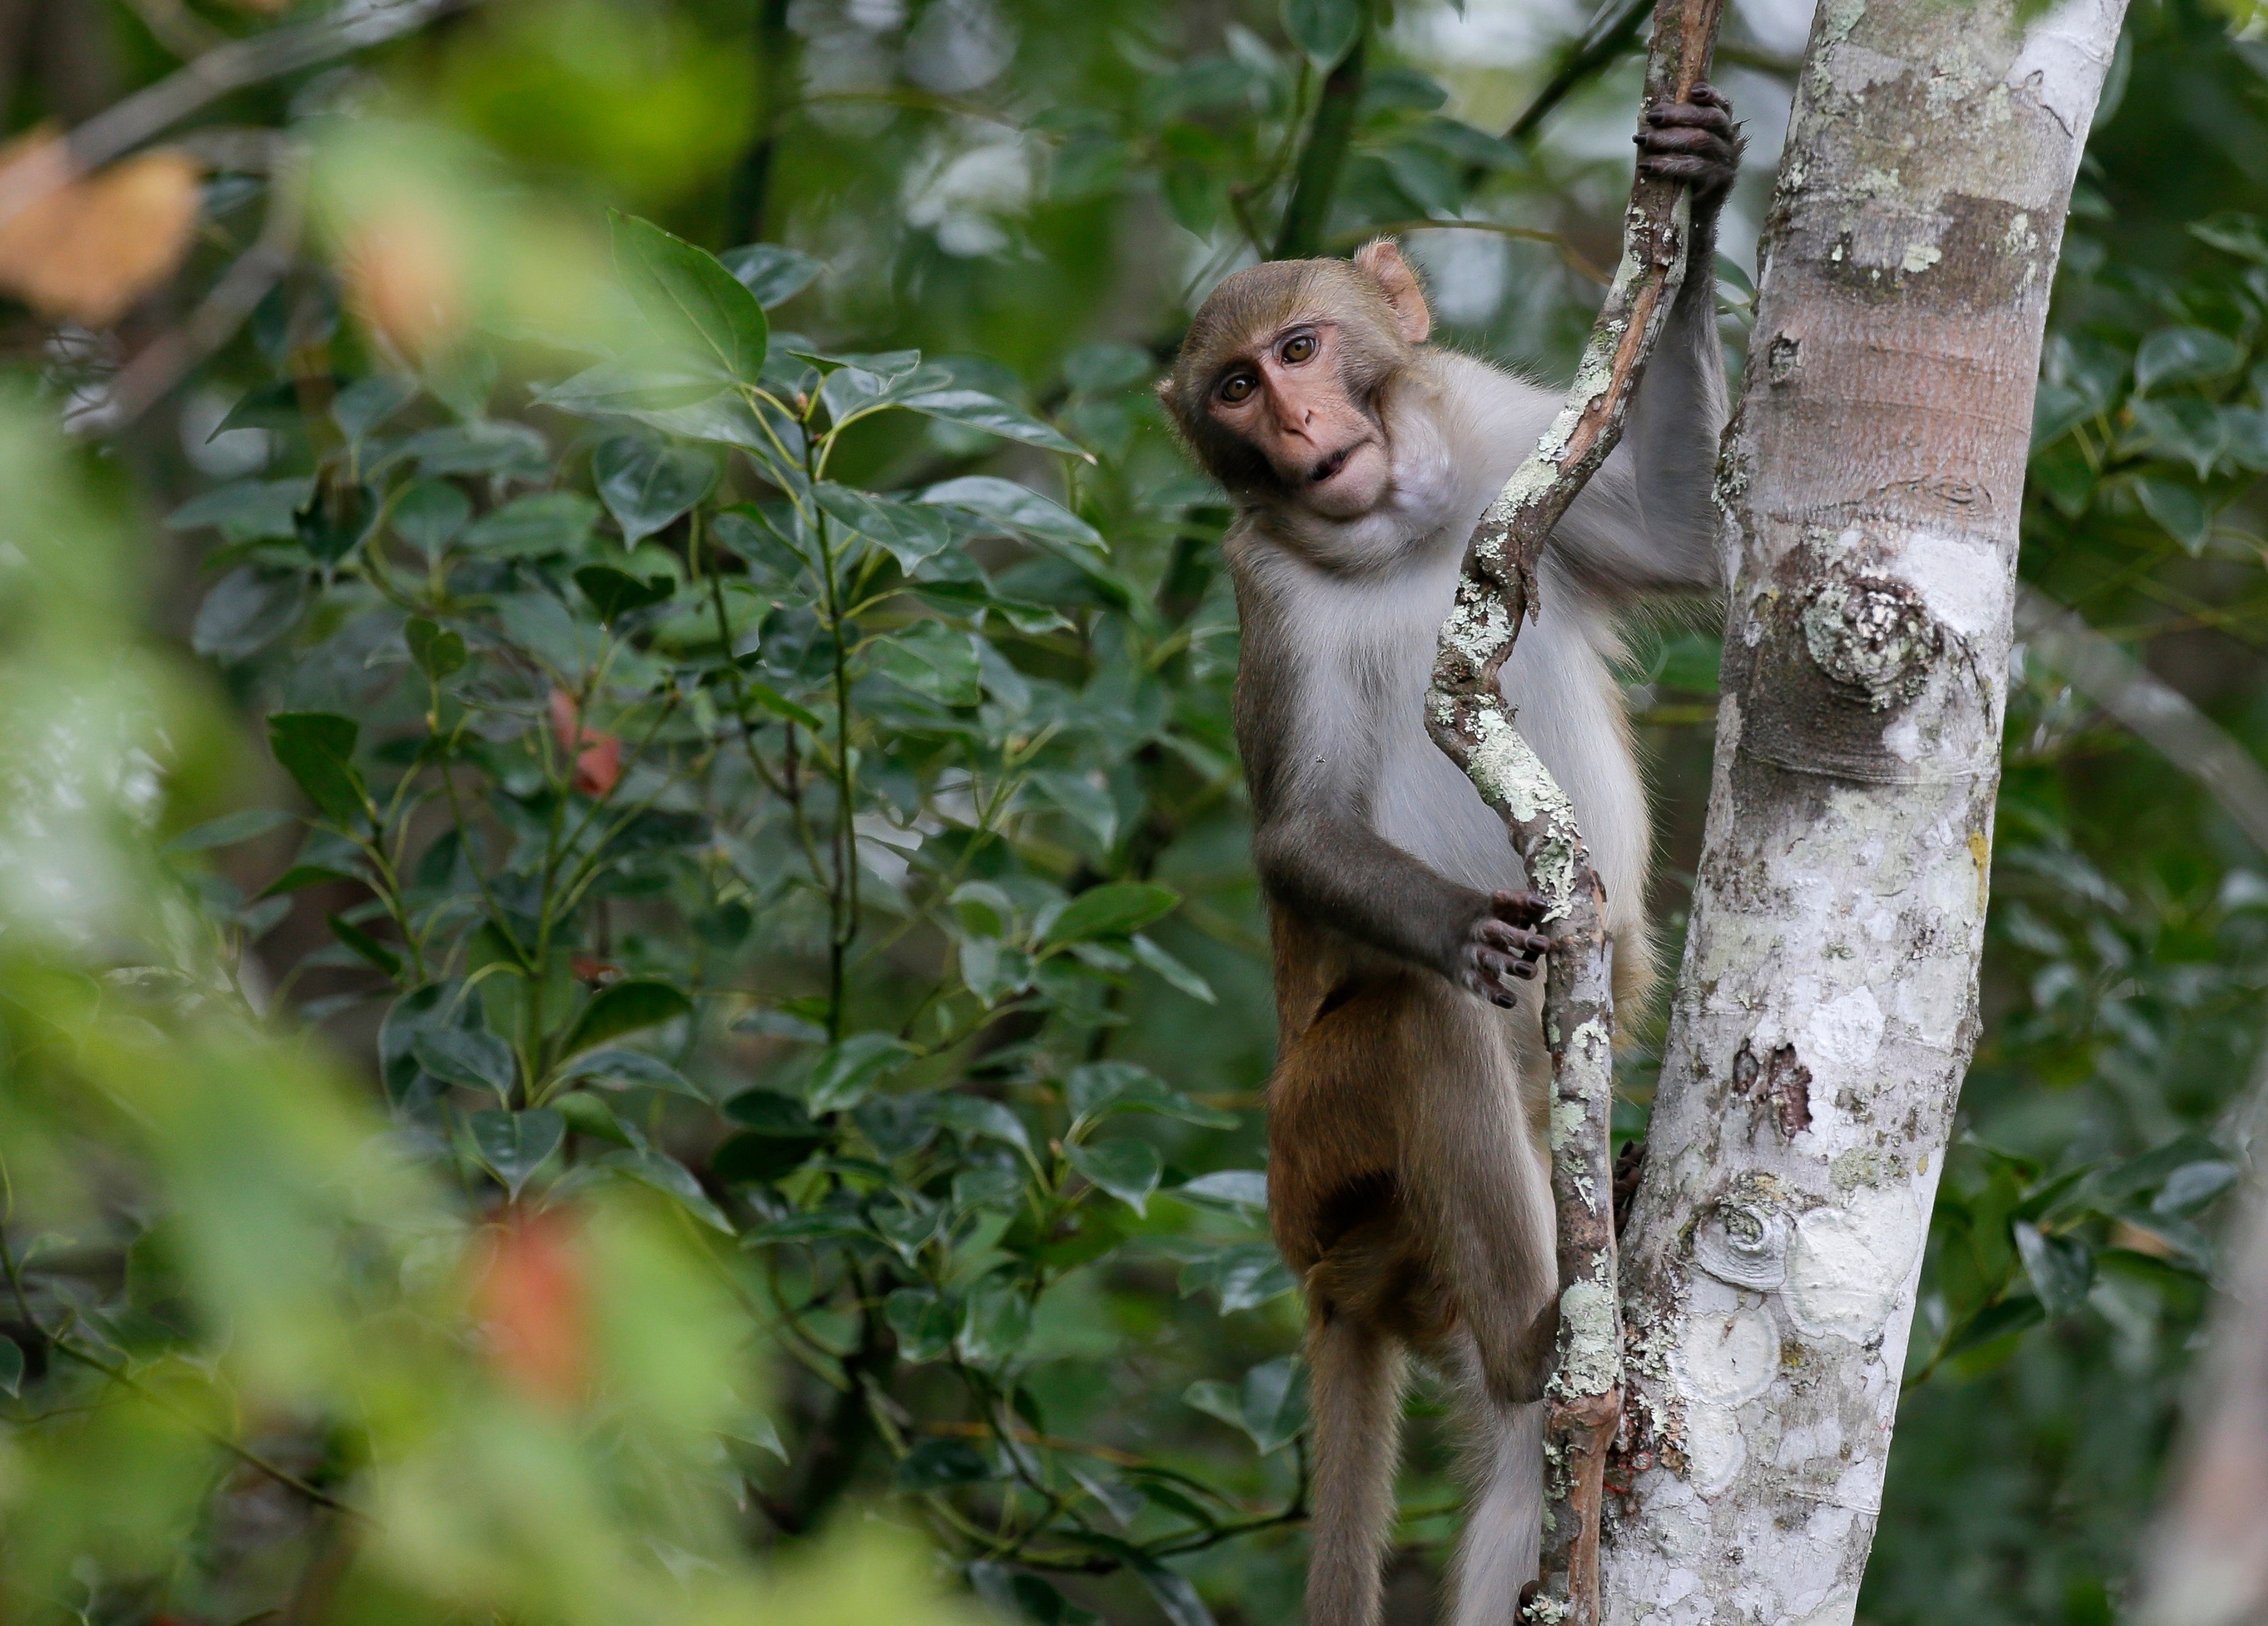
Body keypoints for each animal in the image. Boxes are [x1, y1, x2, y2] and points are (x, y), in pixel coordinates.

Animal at [1161, 89, 1742, 1624]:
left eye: (1302, 350)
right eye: (1233, 388)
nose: (1297, 421)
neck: (1395, 526)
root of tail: (1327, 1273)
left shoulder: (1492, 426)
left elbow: (1685, 534)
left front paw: (1697, 191)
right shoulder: (1264, 587)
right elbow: (1299, 831)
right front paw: (1466, 929)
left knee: (1509, 1491)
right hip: (1317, 1152)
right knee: (1420, 1026)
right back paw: (1536, 1338)